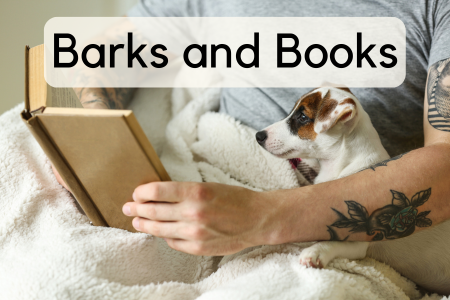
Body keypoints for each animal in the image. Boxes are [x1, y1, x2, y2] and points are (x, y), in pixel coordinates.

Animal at [255, 85, 450, 294]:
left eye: (303, 117)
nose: (258, 136)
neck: (340, 164)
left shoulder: (360, 241)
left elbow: (331, 241)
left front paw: (315, 251)